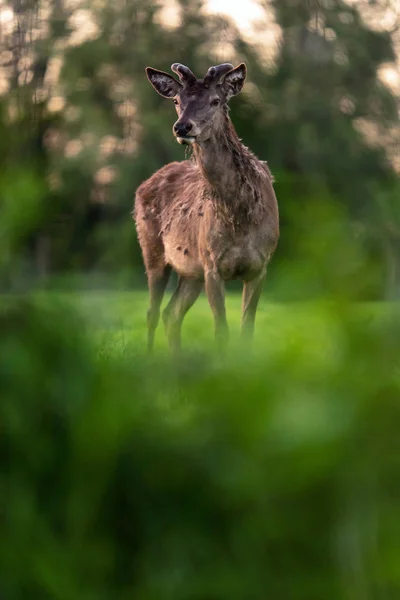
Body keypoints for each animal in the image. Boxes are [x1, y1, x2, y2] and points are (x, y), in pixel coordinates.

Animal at [134, 61, 278, 352]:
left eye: (215, 100)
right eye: (177, 100)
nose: (182, 127)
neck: (241, 218)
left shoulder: (260, 266)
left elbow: (247, 331)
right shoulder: (212, 264)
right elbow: (221, 331)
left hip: (191, 272)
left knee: (171, 313)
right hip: (152, 249)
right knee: (152, 312)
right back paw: (150, 357)